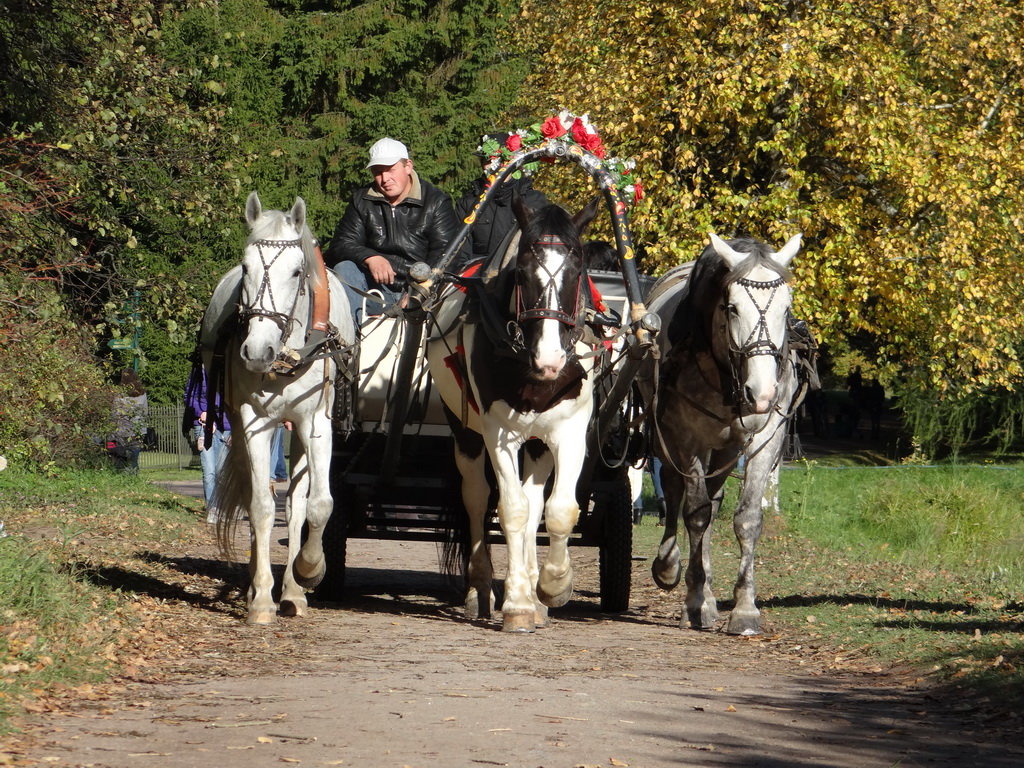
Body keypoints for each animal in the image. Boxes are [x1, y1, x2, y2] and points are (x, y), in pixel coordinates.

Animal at [199, 191, 356, 626]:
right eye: (246, 266)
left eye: (297, 271)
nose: (257, 352)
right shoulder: (254, 422)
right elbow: (261, 508)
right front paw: (261, 599)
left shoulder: (316, 423)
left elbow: (318, 505)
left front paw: (308, 571)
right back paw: (262, 587)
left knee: (299, 503)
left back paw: (293, 591)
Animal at [425, 195, 598, 634]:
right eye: (522, 273)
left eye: (578, 271)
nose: (551, 359)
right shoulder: (496, 430)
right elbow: (511, 509)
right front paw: (517, 602)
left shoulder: (571, 431)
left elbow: (558, 510)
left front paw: (552, 586)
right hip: (466, 433)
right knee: (477, 497)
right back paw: (482, 589)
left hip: (538, 442)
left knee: (536, 502)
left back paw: (537, 593)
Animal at [643, 233, 802, 638]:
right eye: (731, 308)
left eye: (786, 309)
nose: (760, 393)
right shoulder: (687, 439)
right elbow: (696, 515)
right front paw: (697, 600)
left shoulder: (765, 439)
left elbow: (747, 519)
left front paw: (744, 608)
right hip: (671, 440)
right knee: (677, 493)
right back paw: (671, 567)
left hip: (726, 448)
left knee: (714, 503)